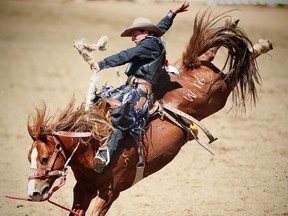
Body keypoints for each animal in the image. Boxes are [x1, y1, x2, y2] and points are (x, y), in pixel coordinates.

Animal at [25, 8, 272, 216]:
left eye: (45, 158)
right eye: (30, 157)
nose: (33, 193)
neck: (93, 144)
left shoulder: (109, 193)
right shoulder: (82, 189)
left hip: (218, 94)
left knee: (235, 70)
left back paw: (261, 44)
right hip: (196, 73)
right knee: (207, 54)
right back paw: (234, 26)